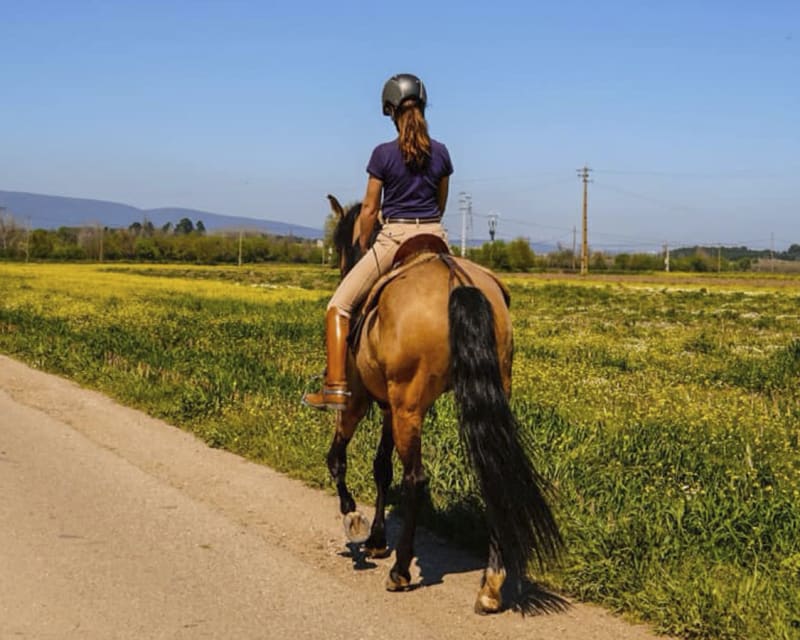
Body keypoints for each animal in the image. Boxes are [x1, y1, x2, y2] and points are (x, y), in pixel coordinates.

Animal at [322, 195, 560, 616]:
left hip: (405, 404)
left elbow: (339, 459)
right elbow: (381, 468)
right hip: (476, 393)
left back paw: (401, 572)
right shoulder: (390, 407)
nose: (342, 268)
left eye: (340, 244)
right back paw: (491, 584)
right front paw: (377, 540)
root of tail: (458, 282)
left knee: (416, 478)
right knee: (492, 471)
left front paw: (355, 521)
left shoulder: (363, 400)